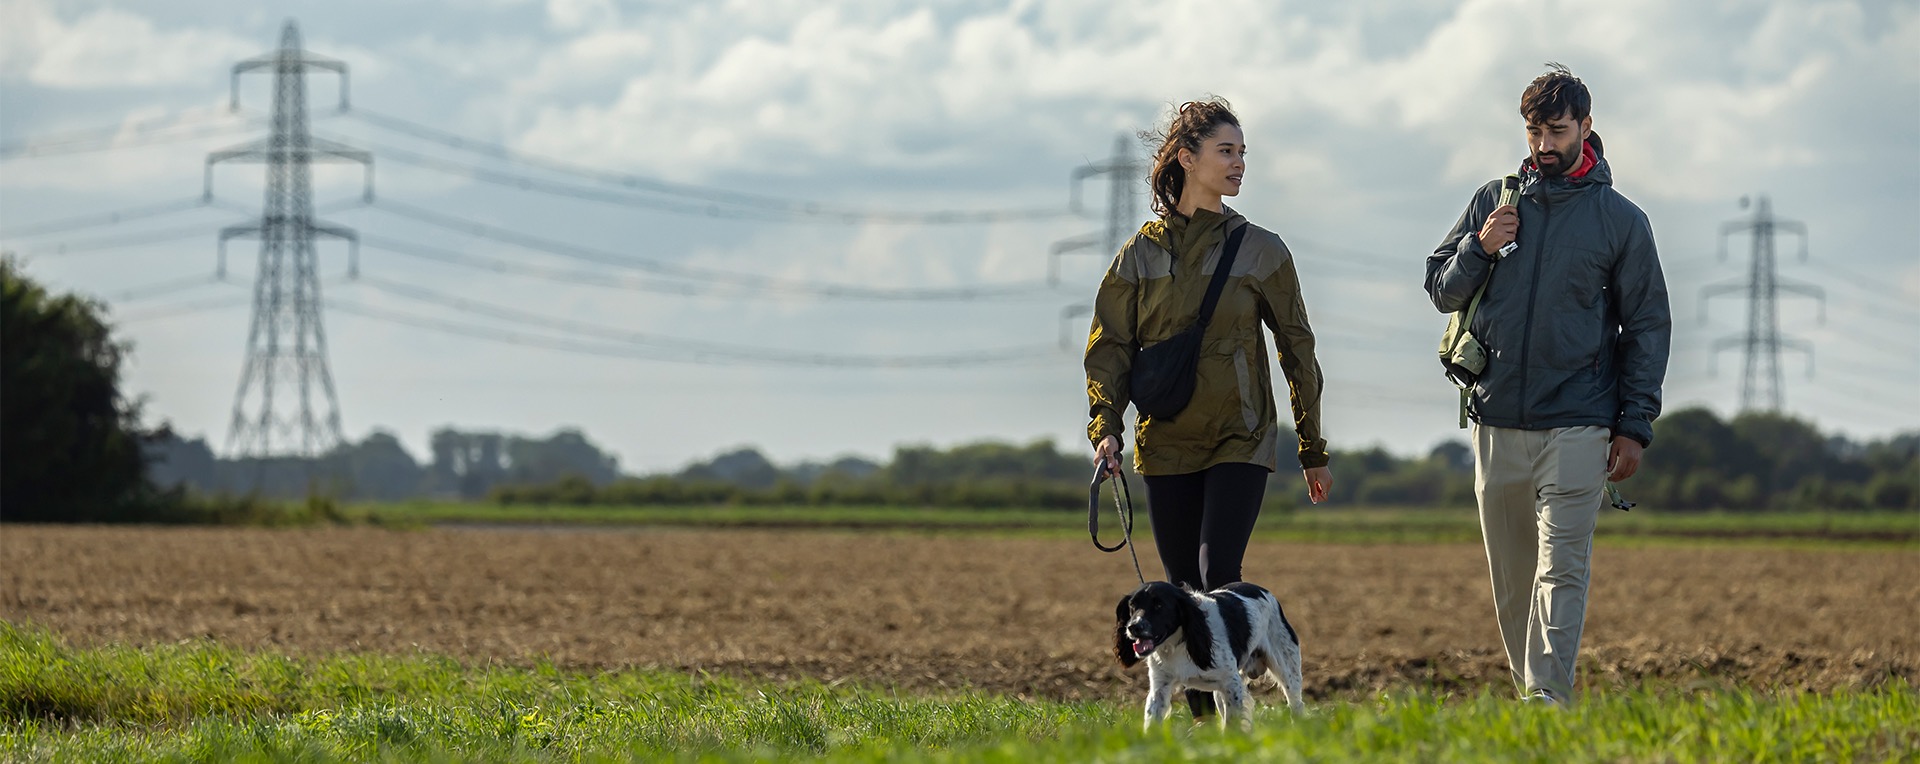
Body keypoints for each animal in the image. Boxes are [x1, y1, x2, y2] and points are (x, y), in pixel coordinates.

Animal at [1113, 579, 1305, 729]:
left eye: (1159, 605)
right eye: (1132, 606)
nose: (1133, 627)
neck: (1180, 643)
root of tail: (1265, 591)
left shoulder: (1232, 684)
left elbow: (1233, 725)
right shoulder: (1159, 687)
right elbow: (1151, 721)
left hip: (1287, 672)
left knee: (1296, 704)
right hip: (1219, 694)